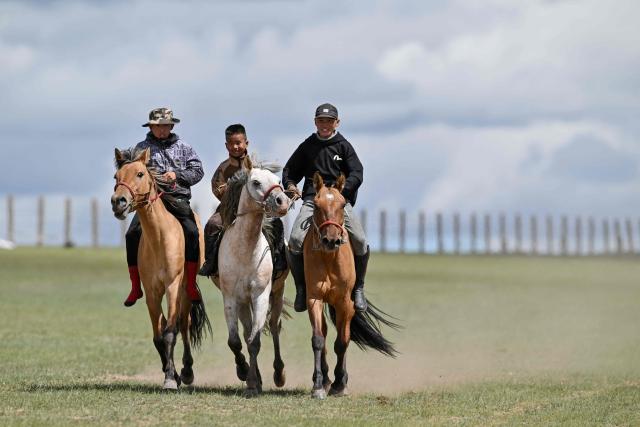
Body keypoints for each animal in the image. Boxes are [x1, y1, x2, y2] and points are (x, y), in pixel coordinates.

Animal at [111, 147, 211, 390]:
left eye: (140, 174)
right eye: (116, 177)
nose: (118, 202)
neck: (158, 238)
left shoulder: (172, 286)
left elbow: (170, 333)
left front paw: (172, 378)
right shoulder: (152, 291)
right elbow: (159, 336)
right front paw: (169, 373)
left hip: (185, 291)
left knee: (184, 324)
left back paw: (187, 371)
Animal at [211, 156, 292, 397]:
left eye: (278, 181)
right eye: (255, 182)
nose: (282, 202)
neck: (245, 249)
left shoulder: (260, 296)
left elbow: (254, 341)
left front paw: (253, 384)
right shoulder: (231, 298)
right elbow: (236, 341)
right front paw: (244, 373)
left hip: (276, 295)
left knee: (274, 327)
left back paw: (278, 374)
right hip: (243, 303)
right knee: (246, 333)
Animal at [304, 172, 399, 399]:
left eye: (342, 204)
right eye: (317, 205)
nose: (331, 240)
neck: (329, 258)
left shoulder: (344, 303)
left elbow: (342, 342)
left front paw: (340, 384)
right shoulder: (314, 299)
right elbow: (318, 340)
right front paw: (318, 385)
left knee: (344, 336)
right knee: (326, 334)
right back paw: (325, 379)